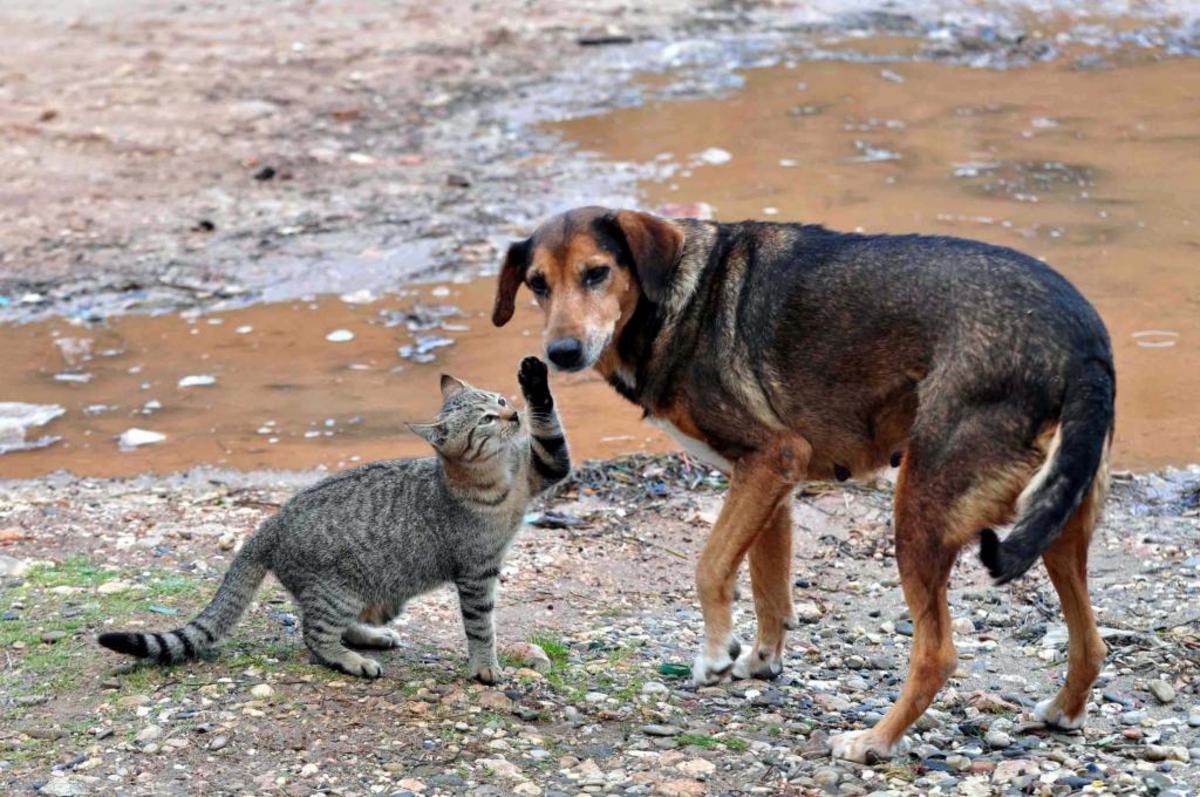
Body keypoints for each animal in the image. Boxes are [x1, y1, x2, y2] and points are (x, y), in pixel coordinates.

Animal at [96, 357, 573, 681]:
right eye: (487, 419)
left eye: (501, 400)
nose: (513, 414)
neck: (498, 476)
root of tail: (271, 522)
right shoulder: (476, 571)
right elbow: (480, 625)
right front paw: (484, 666)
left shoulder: (547, 467)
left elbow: (550, 429)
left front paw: (535, 379)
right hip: (338, 590)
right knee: (316, 634)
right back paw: (351, 661)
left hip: (377, 597)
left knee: (340, 627)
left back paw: (371, 639)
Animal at [489, 206, 1113, 768]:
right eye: (538, 284)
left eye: (596, 272)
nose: (561, 353)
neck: (676, 296)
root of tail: (1084, 347)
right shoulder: (772, 480)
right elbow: (768, 581)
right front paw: (759, 659)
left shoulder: (771, 458)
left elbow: (712, 566)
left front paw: (715, 654)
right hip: (1057, 520)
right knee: (1090, 640)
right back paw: (1063, 711)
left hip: (919, 508)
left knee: (937, 655)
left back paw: (875, 741)